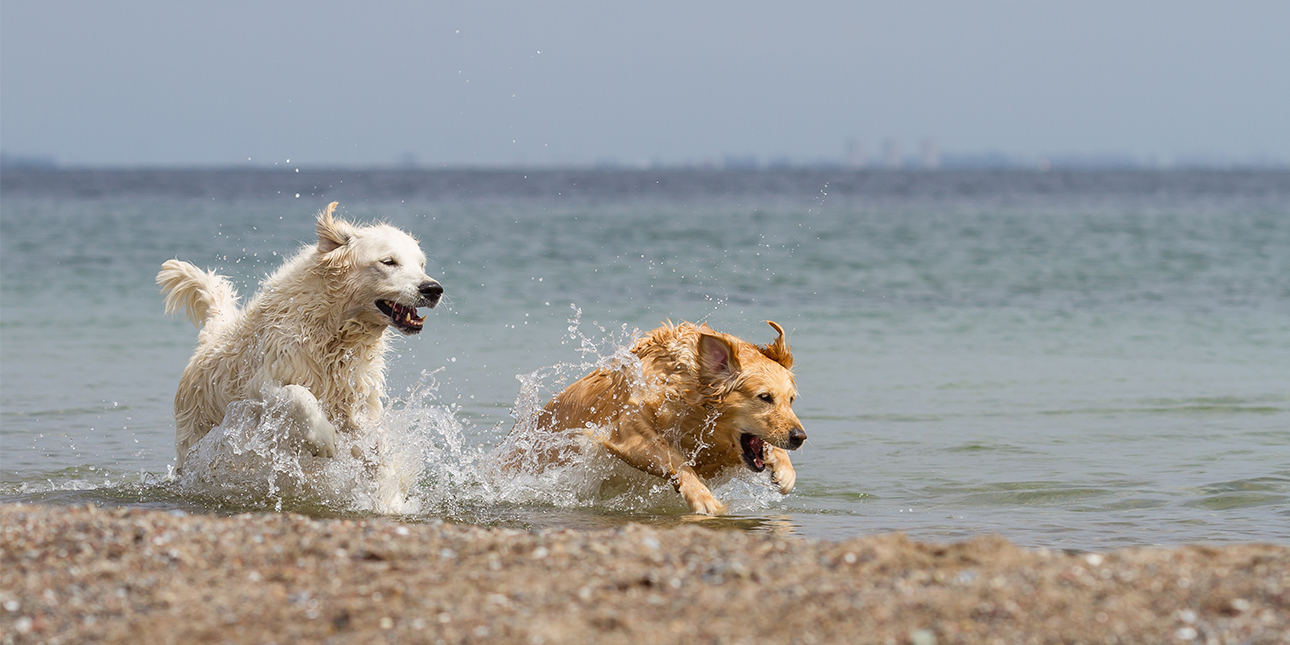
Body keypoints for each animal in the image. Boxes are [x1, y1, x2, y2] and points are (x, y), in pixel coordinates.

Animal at [152, 201, 438, 469]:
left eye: (421, 264)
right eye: (388, 261)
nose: (434, 289)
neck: (333, 329)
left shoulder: (360, 399)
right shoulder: (262, 382)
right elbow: (297, 394)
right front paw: (323, 437)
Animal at [505, 321, 799, 513]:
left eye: (791, 399)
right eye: (764, 397)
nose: (800, 437)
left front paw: (785, 471)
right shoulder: (626, 428)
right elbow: (675, 459)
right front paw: (702, 497)